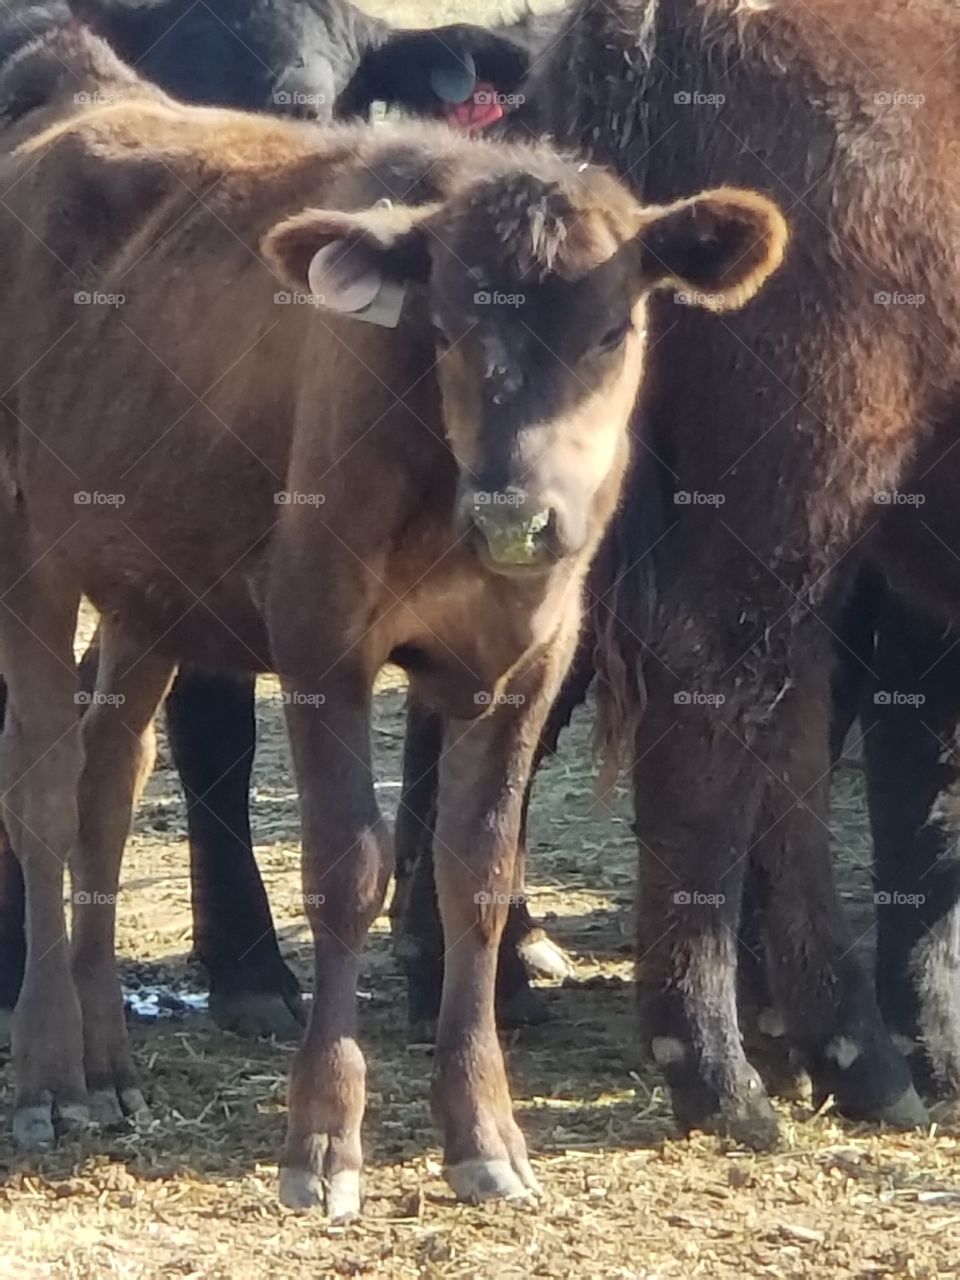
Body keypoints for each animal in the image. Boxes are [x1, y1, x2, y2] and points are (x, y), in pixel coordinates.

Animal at [0, 27, 785, 1215]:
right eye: (448, 328)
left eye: (615, 328)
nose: (516, 513)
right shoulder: (321, 633)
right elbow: (348, 868)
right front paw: (323, 1138)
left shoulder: (529, 660)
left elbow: (477, 876)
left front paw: (485, 1132)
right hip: (30, 554)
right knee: (44, 790)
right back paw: (49, 1073)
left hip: (145, 583)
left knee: (109, 773)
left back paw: (105, 1063)